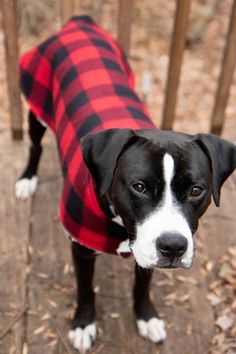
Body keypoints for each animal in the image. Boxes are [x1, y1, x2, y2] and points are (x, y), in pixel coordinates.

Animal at [15, 15, 235, 352]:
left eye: (196, 190)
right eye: (139, 187)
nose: (174, 246)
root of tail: (79, 22)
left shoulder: (148, 252)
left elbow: (142, 284)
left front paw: (146, 316)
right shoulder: (81, 248)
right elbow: (85, 288)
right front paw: (83, 323)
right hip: (37, 108)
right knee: (36, 146)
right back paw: (27, 179)